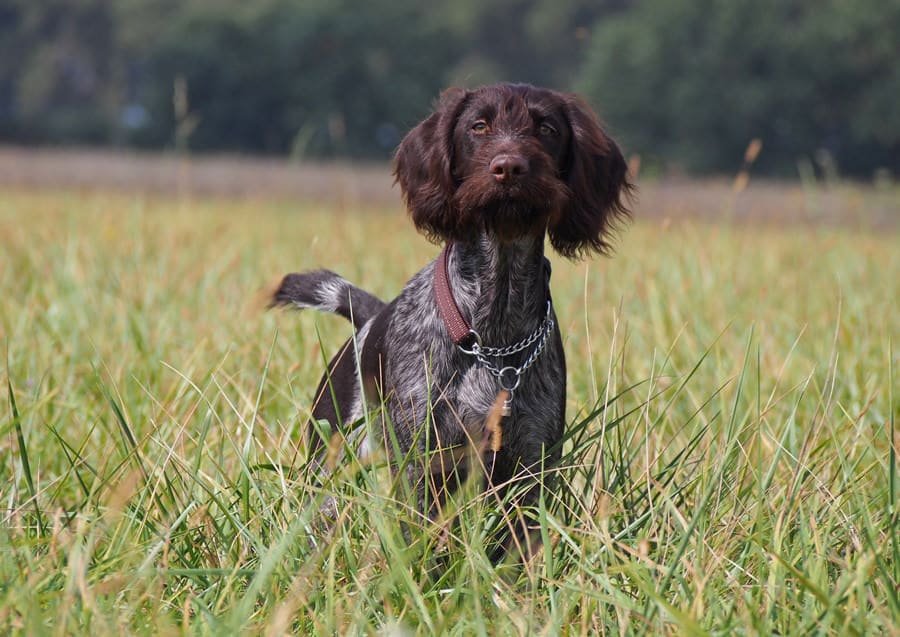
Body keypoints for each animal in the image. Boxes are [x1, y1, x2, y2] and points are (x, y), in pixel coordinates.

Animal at [270, 82, 628, 556]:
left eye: (547, 128)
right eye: (478, 126)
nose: (509, 167)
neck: (493, 330)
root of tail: (369, 320)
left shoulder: (530, 468)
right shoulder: (424, 462)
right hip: (330, 471)